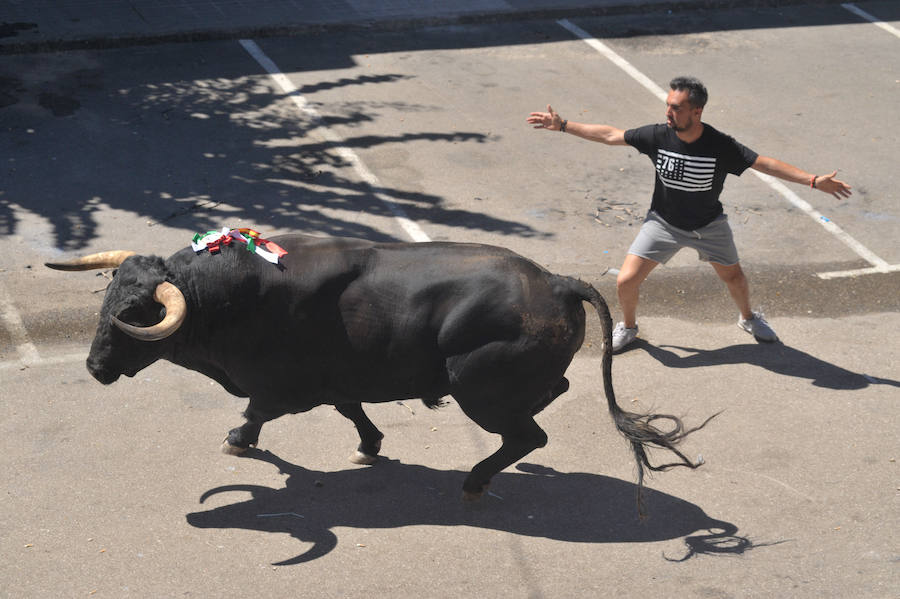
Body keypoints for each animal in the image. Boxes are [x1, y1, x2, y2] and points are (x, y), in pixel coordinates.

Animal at [47, 234, 712, 516]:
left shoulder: (284, 385)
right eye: (107, 301)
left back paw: (476, 481)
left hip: (478, 388)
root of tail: (556, 281)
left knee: (527, 434)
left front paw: (238, 440)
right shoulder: (336, 380)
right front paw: (370, 445)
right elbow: (351, 409)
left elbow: (259, 410)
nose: (95, 366)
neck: (231, 296)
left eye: (138, 314)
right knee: (552, 397)